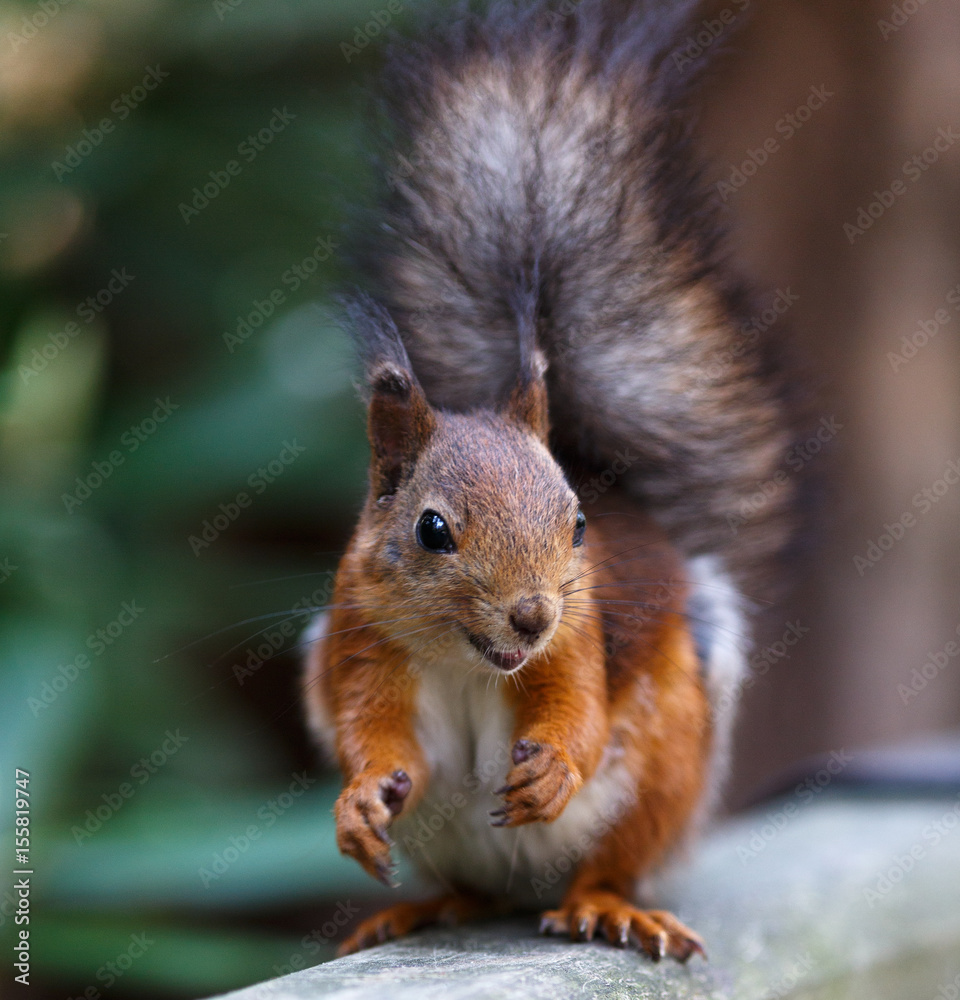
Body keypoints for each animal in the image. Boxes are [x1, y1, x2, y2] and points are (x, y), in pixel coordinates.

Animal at [303, 0, 797, 963]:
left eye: (577, 526)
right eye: (431, 529)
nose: (530, 613)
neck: (467, 657)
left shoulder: (579, 634)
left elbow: (579, 711)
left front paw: (556, 769)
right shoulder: (360, 637)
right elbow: (373, 734)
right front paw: (357, 803)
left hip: (665, 763)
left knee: (608, 864)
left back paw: (609, 906)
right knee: (464, 891)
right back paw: (421, 909)